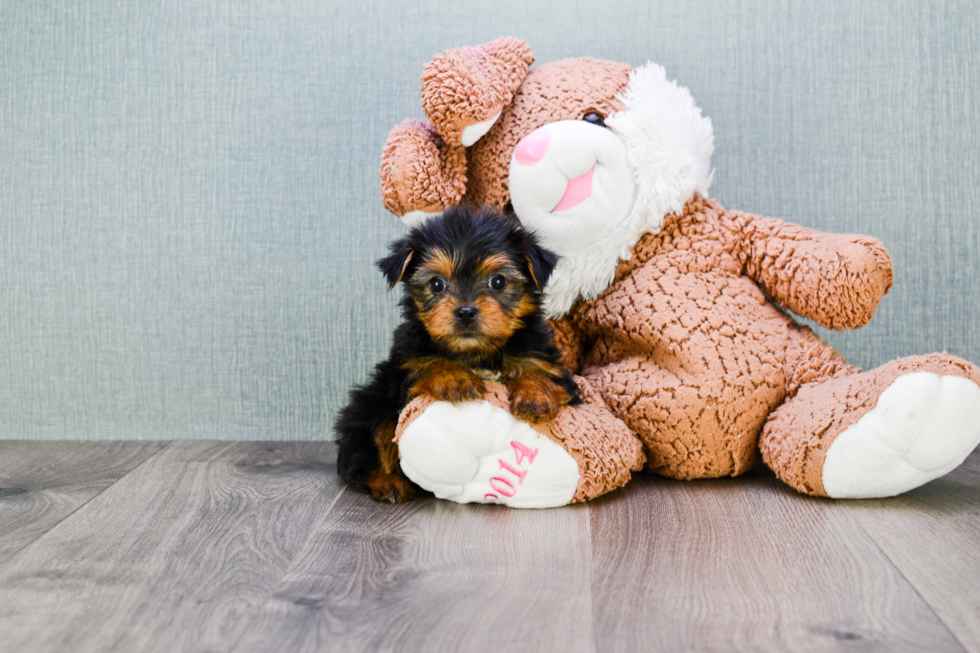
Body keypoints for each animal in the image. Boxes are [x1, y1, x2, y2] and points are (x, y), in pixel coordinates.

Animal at [336, 206, 580, 502]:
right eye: (436, 284)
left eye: (498, 281)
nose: (465, 311)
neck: (476, 353)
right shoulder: (406, 365)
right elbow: (431, 362)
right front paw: (456, 380)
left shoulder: (545, 358)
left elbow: (539, 370)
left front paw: (535, 396)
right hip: (372, 405)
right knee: (371, 445)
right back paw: (388, 482)